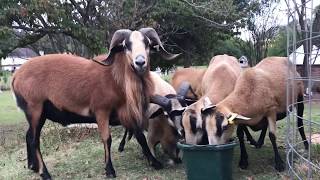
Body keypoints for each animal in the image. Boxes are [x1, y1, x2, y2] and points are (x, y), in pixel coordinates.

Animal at [11, 27, 179, 179]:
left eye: (148, 43)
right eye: (126, 45)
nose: (140, 62)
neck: (115, 78)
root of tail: (15, 76)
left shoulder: (126, 113)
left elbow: (140, 137)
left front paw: (155, 163)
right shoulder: (101, 111)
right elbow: (107, 139)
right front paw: (109, 170)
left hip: (40, 114)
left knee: (28, 136)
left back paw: (33, 166)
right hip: (35, 109)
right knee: (34, 140)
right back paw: (44, 173)